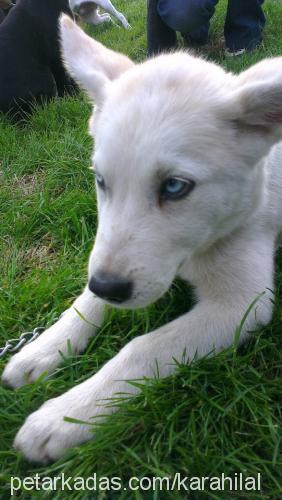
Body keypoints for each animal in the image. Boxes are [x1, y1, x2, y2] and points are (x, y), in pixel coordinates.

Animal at [2, 15, 282, 462]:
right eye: (101, 181)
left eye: (175, 187)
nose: (109, 287)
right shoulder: (107, 259)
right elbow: (85, 302)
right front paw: (44, 348)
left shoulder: (242, 305)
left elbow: (141, 348)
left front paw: (63, 416)